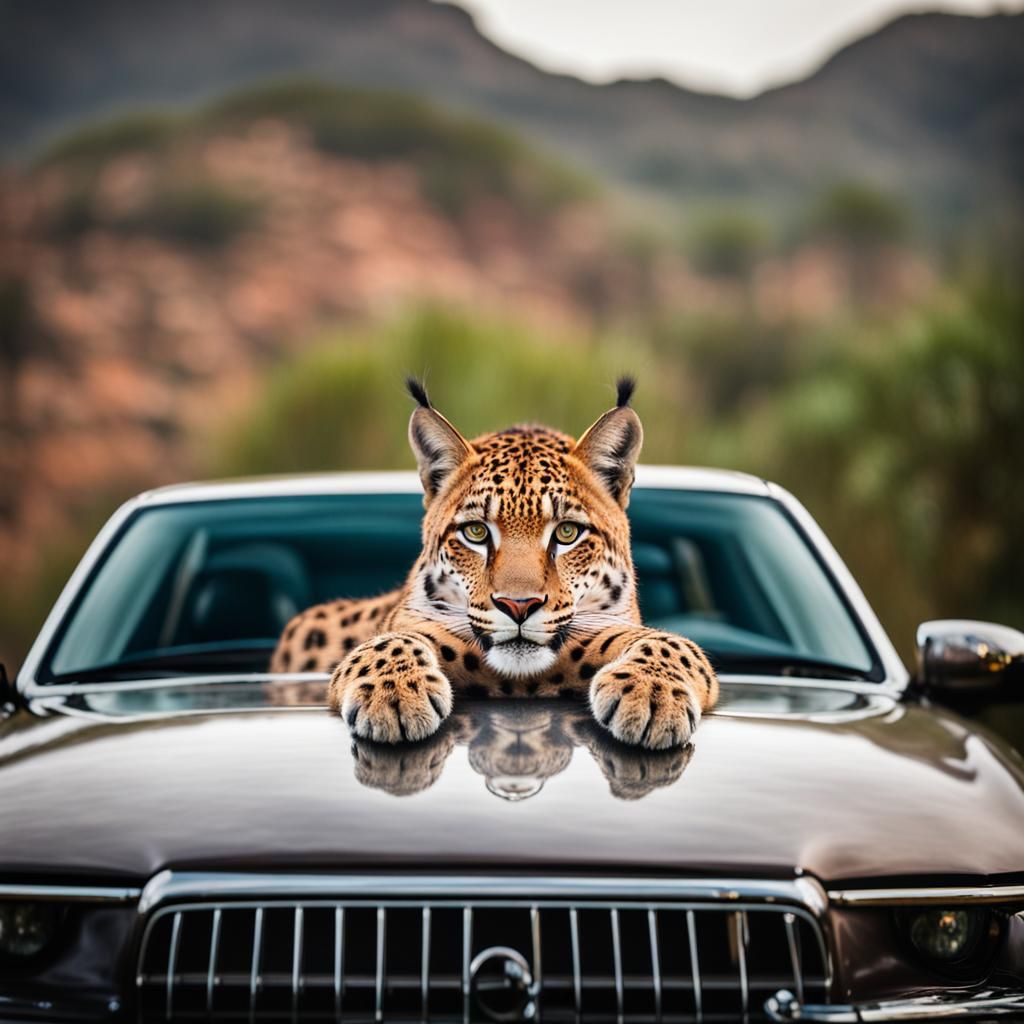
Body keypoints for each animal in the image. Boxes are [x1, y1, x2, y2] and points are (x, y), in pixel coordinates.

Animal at [269, 377, 719, 750]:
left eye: (567, 533)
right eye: (476, 532)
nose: (518, 606)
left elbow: (672, 642)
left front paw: (653, 694)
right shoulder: (411, 622)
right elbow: (390, 639)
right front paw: (392, 695)